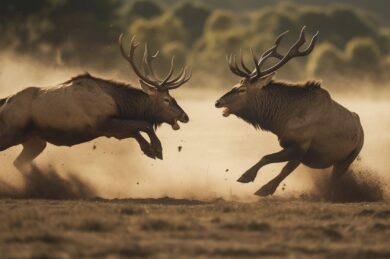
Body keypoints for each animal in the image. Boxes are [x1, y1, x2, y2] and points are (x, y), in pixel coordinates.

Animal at [0, 34, 190, 173]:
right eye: (167, 99)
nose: (185, 116)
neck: (121, 104)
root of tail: (5, 102)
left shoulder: (111, 130)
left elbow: (135, 130)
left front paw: (149, 149)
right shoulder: (102, 121)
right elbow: (143, 124)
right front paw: (157, 149)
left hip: (35, 141)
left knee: (18, 163)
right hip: (11, 132)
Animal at [215, 26, 364, 197]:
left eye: (242, 89)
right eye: (235, 85)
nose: (218, 102)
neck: (279, 120)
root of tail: (360, 128)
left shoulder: (301, 144)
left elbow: (271, 160)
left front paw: (251, 179)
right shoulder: (293, 147)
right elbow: (282, 166)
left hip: (350, 155)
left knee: (335, 176)